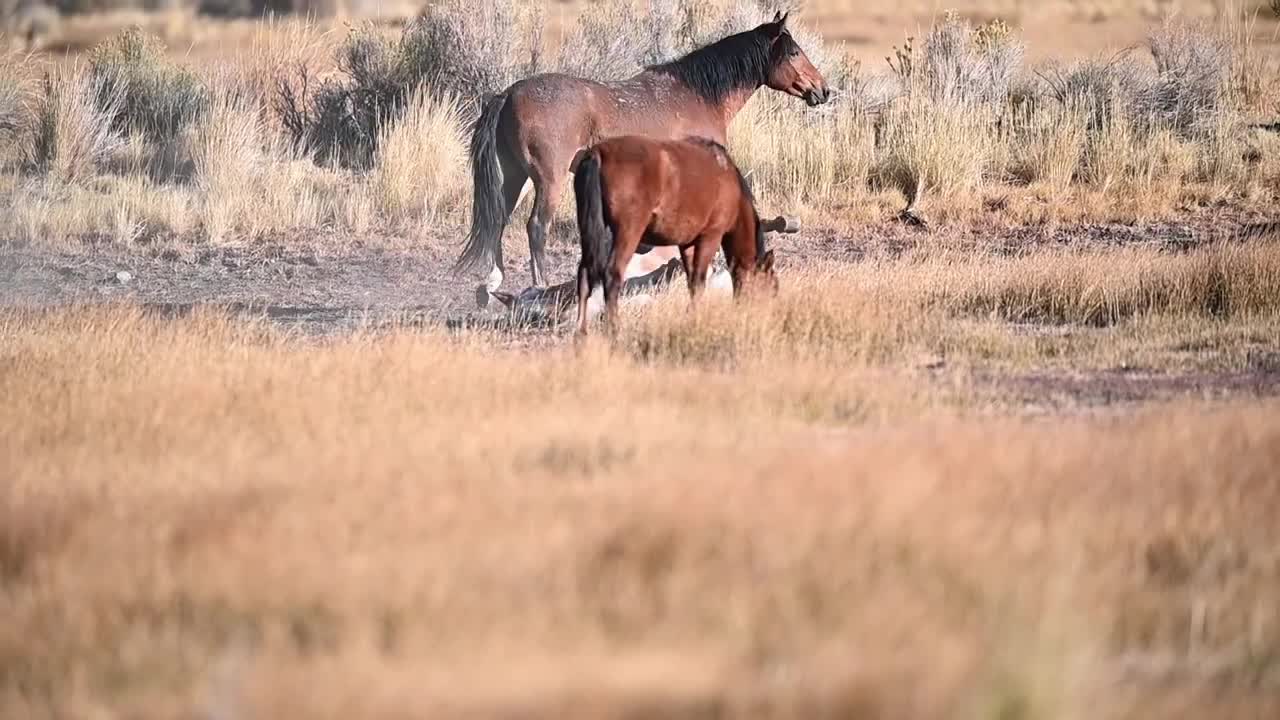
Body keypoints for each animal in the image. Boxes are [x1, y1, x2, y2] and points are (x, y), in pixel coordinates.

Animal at [450, 11, 829, 297]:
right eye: (793, 53)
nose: (822, 90)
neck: (700, 95)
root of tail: (507, 95)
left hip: (514, 177)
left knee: (498, 221)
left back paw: (492, 283)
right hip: (548, 179)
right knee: (536, 228)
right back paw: (539, 285)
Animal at [573, 133, 773, 333]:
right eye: (771, 287)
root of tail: (597, 152)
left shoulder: (687, 243)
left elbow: (692, 283)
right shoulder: (711, 236)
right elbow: (699, 281)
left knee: (584, 276)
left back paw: (581, 332)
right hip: (628, 232)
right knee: (612, 275)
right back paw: (614, 330)